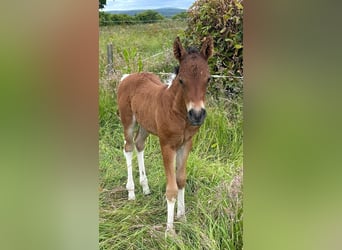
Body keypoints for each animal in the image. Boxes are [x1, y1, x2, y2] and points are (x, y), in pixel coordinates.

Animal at [117, 36, 214, 233]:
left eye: (208, 79)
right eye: (182, 80)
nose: (197, 115)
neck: (178, 112)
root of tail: (127, 76)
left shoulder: (186, 144)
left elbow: (181, 180)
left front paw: (182, 217)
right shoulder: (167, 145)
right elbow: (172, 188)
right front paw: (170, 230)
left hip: (145, 124)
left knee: (139, 144)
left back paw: (145, 188)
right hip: (128, 121)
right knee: (128, 147)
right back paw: (131, 192)